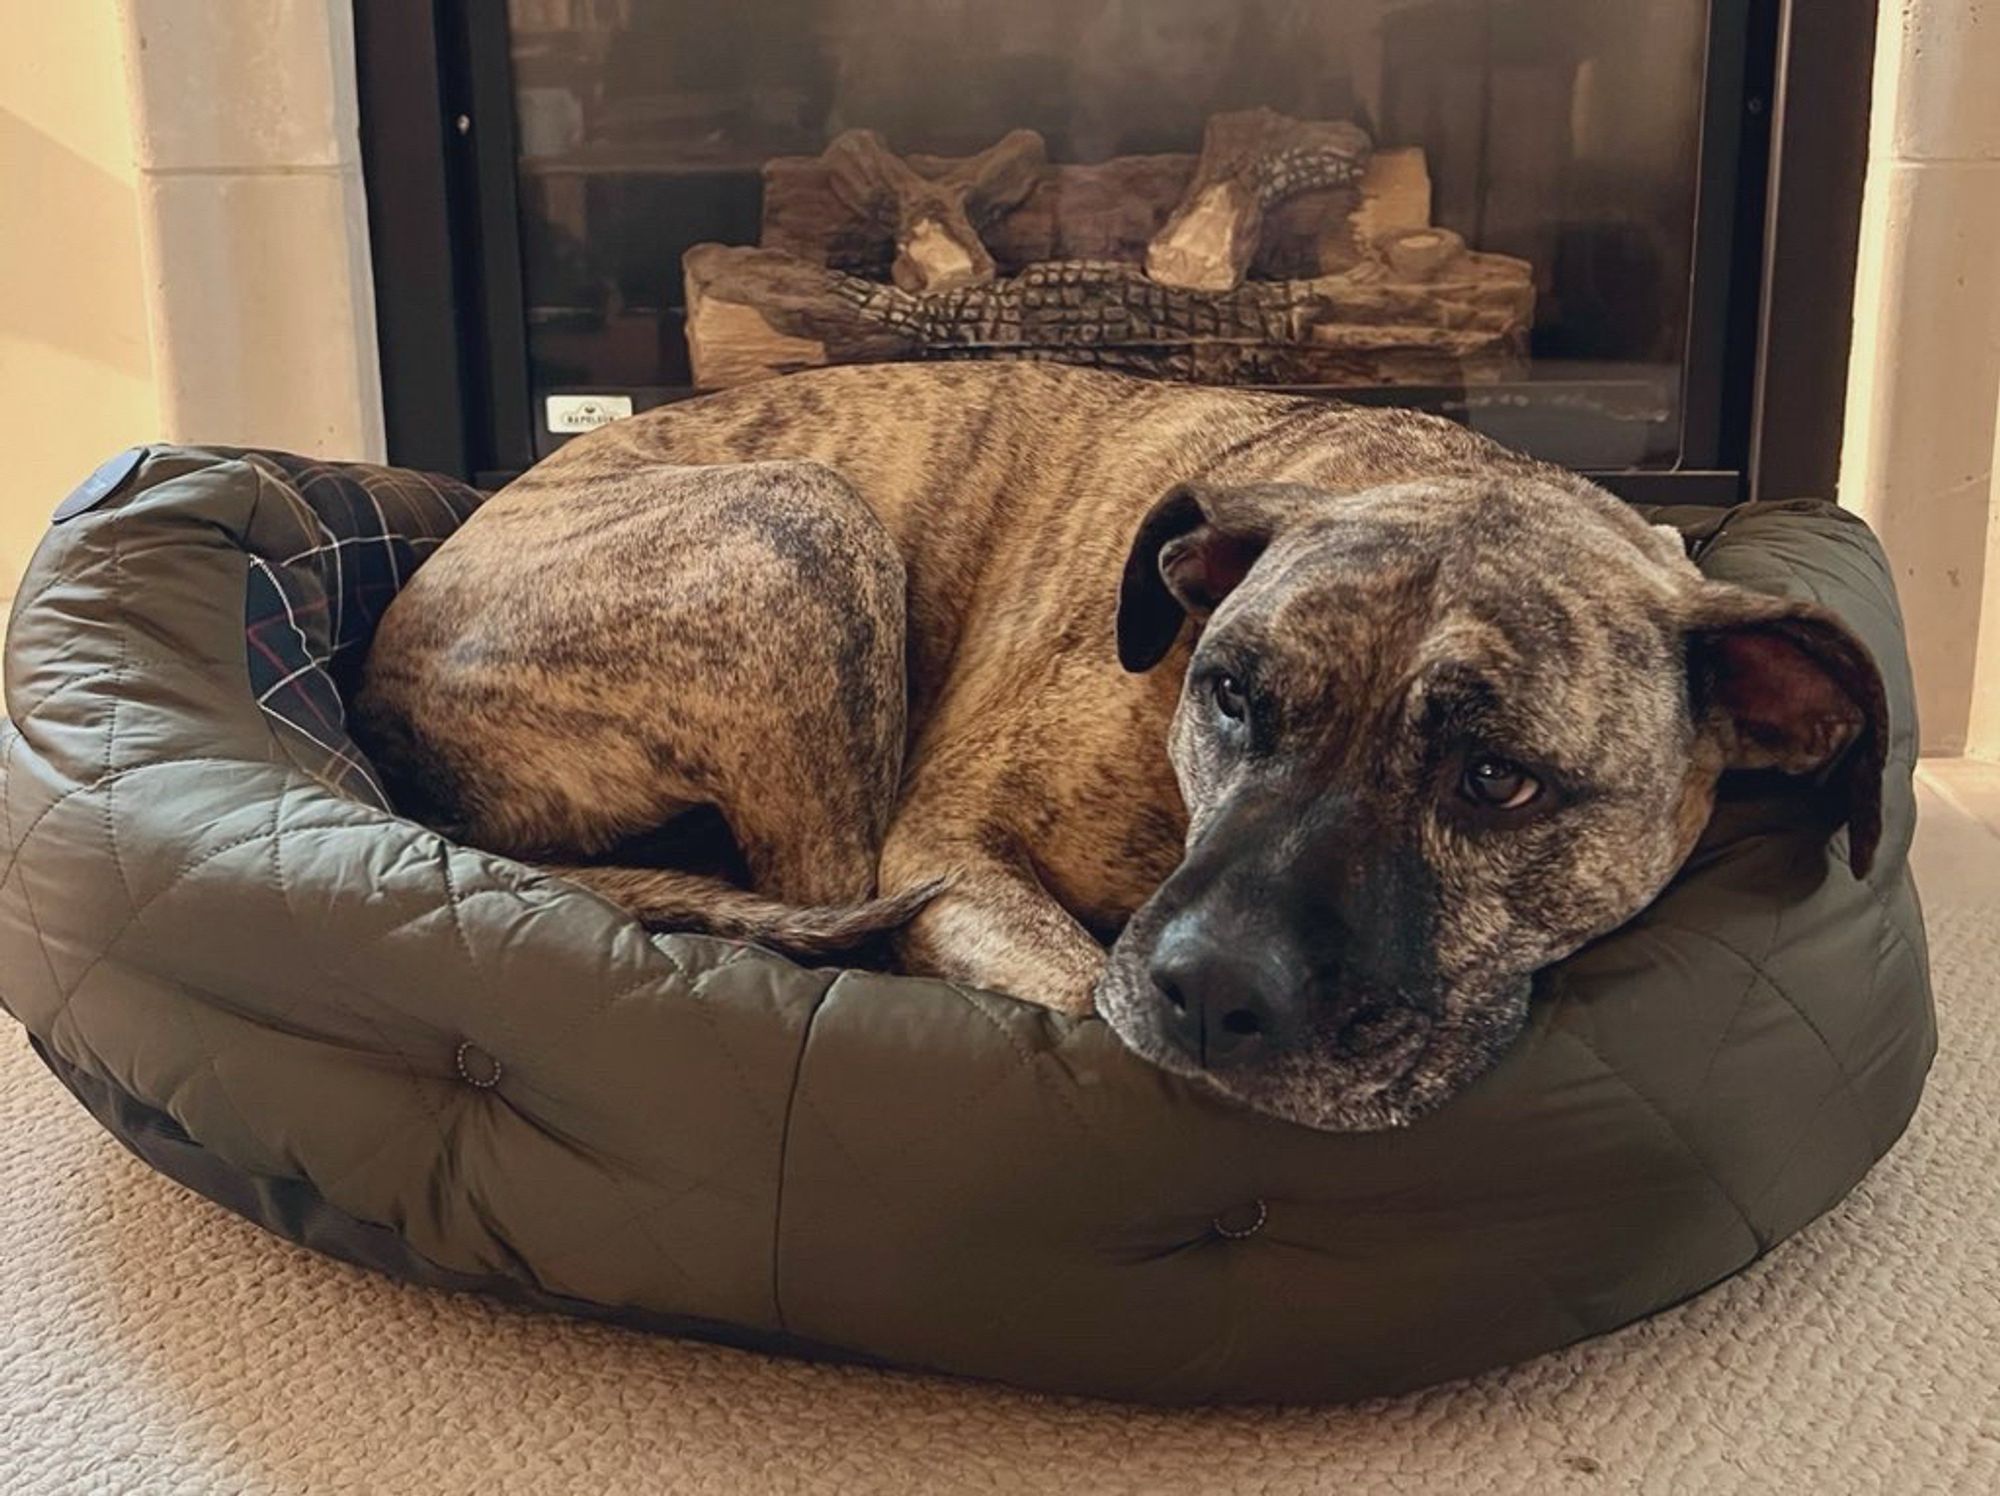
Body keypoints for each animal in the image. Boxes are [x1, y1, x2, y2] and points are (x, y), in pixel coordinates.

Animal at [352, 366, 1880, 1136]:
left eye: (1498, 780)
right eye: (1232, 695)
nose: (1213, 987)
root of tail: (379, 677)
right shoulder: (948, 849)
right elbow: (1080, 988)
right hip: (802, 523)